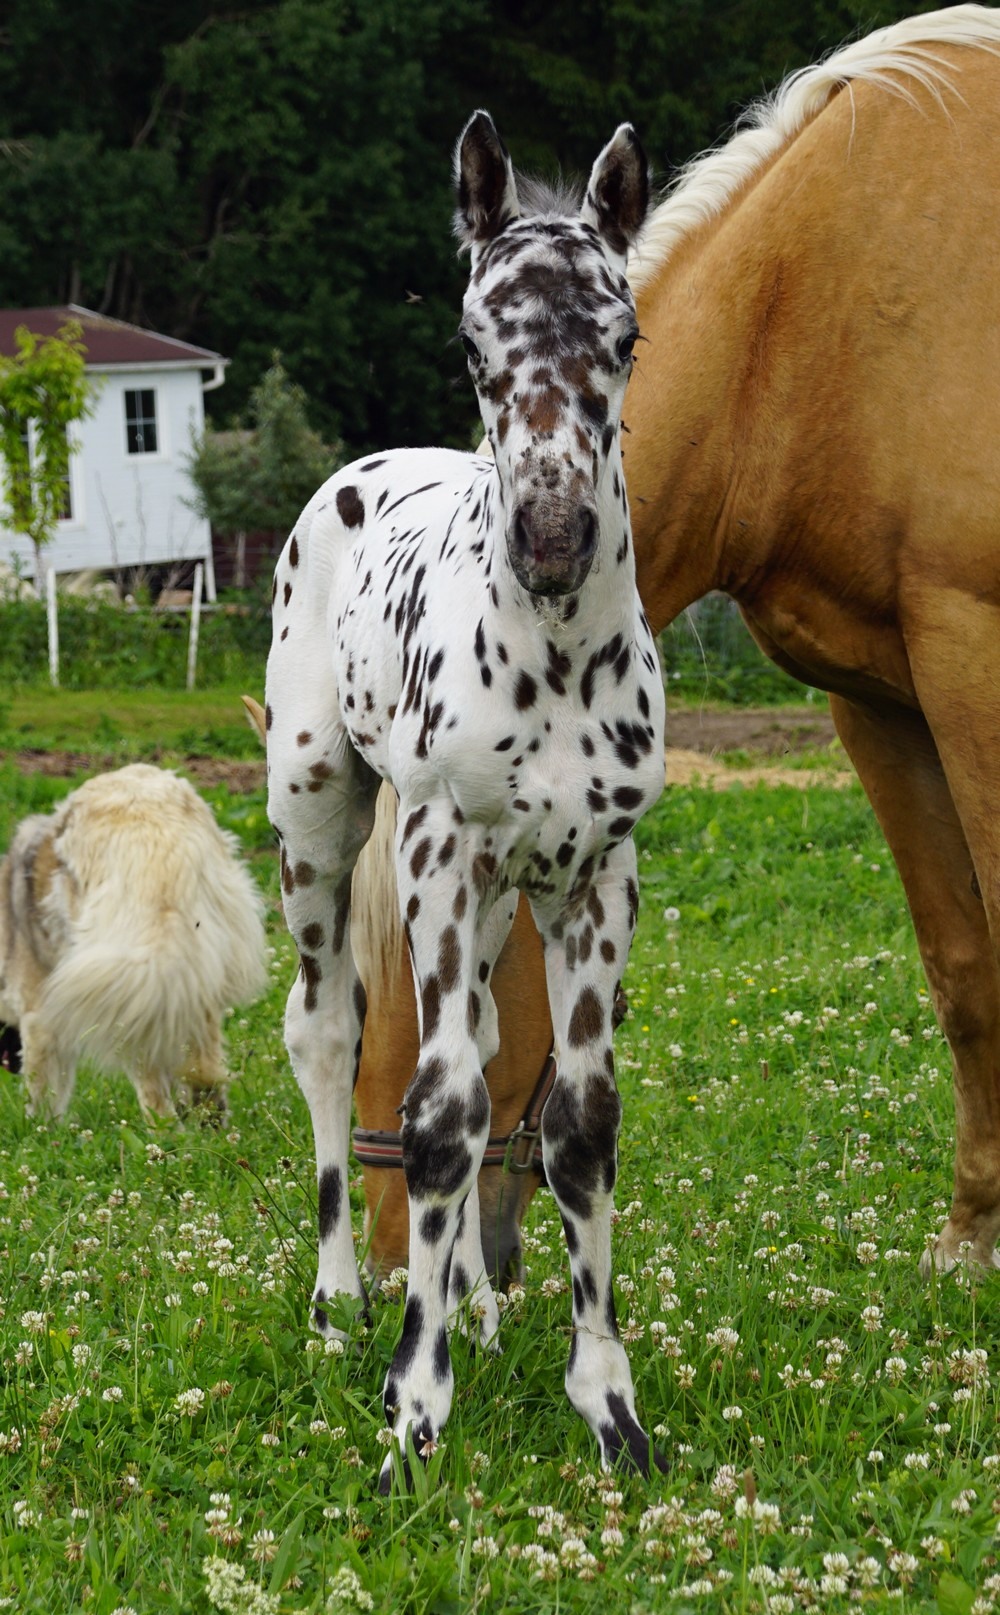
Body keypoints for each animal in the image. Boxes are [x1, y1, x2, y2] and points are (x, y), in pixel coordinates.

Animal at [0, 762, 268, 1117]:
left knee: (155, 1089)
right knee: (204, 1068)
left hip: (125, 994)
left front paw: (36, 1126)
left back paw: (167, 1126)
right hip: (184, 970)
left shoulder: (39, 1015)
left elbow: (43, 1092)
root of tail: (148, 826)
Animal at [269, 107, 668, 1479]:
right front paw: (413, 1412)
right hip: (320, 824)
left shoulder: (595, 878)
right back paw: (344, 1302)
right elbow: (434, 1117)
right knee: (329, 1036)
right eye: (470, 338)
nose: (550, 539)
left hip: (501, 897)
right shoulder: (440, 857)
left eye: (625, 337)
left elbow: (574, 1123)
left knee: (491, 1055)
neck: (550, 658)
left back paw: (477, 1302)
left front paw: (608, 1407)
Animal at [350, 3, 1000, 1285]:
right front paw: (972, 1233)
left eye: (460, 962)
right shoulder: (885, 701)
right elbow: (963, 967)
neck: (821, 314)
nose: (399, 1254)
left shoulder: (975, 660)